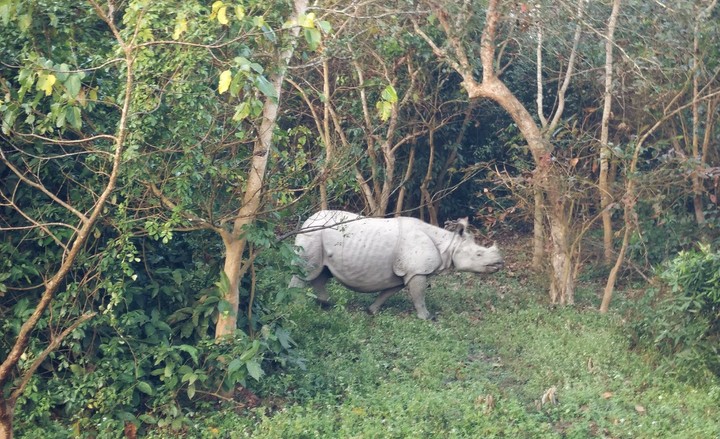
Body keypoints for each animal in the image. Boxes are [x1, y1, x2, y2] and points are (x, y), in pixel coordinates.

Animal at [289, 210, 504, 319]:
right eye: (478, 254)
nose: (500, 263)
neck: (448, 245)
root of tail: (307, 219)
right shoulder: (418, 271)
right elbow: (419, 296)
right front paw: (427, 317)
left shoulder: (405, 272)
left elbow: (388, 292)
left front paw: (372, 310)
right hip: (312, 235)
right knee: (305, 272)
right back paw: (295, 307)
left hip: (319, 237)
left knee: (321, 273)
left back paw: (326, 305)